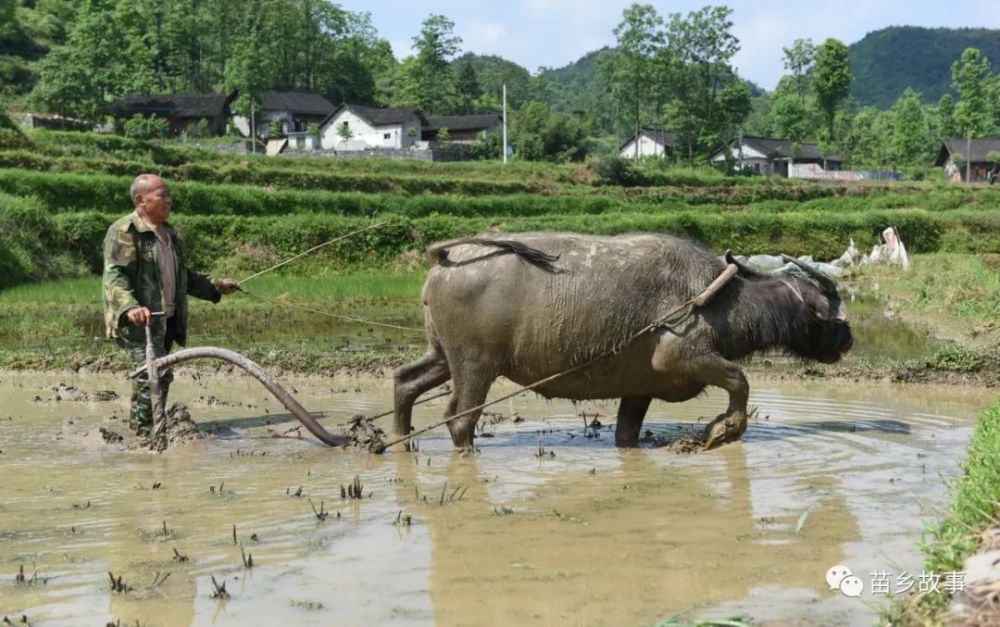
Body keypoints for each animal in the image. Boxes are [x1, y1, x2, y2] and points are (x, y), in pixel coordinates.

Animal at [390, 233, 852, 448]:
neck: (715, 297)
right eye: (833, 311)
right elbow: (740, 379)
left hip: (442, 355)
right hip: (475, 364)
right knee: (459, 419)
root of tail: (445, 259)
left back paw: (400, 442)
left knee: (405, 381)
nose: (847, 340)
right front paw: (723, 430)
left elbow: (626, 433)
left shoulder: (640, 387)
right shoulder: (679, 355)